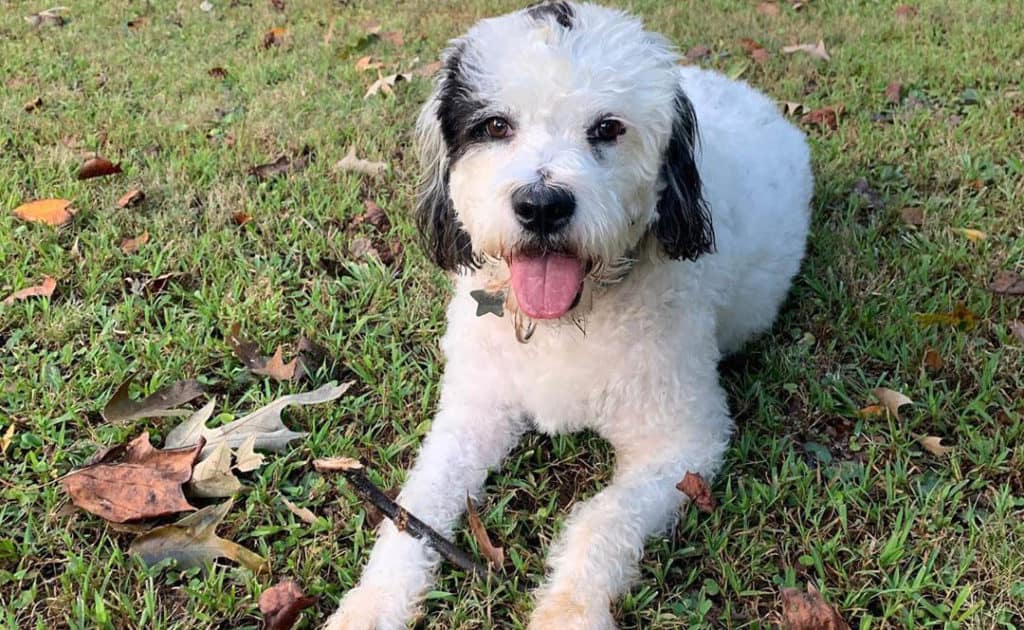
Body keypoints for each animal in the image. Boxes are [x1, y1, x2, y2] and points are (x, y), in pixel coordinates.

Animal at [323, 2, 811, 626]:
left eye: (607, 128)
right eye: (495, 126)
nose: (541, 205)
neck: (563, 323)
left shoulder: (681, 443)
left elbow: (603, 518)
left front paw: (569, 609)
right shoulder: (472, 411)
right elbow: (415, 505)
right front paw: (374, 601)